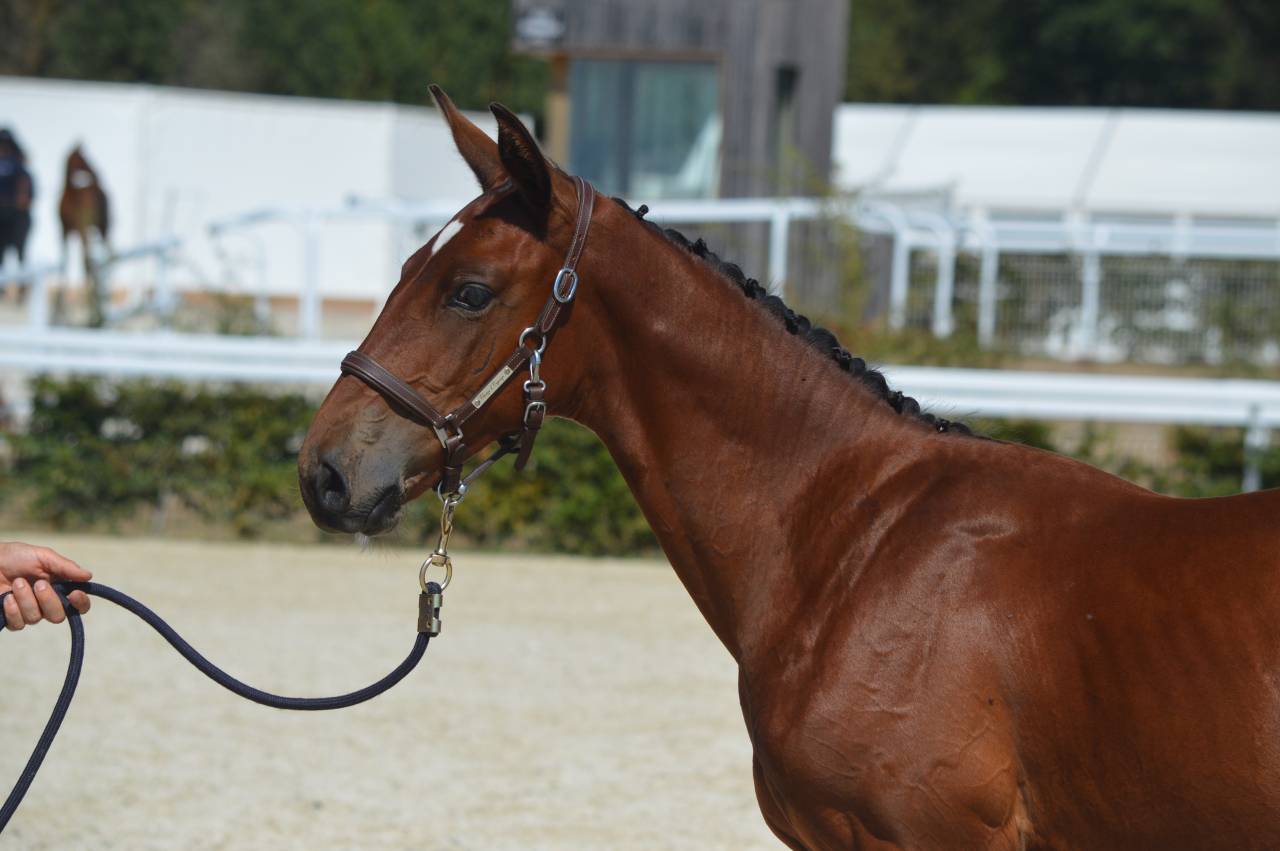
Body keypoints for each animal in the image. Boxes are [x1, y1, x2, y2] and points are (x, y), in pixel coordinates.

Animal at [58, 145, 111, 326]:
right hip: (102, 227)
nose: (97, 173)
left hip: (85, 229)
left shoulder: (64, 229)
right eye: (84, 158)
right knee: (107, 257)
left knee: (88, 262)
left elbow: (66, 263)